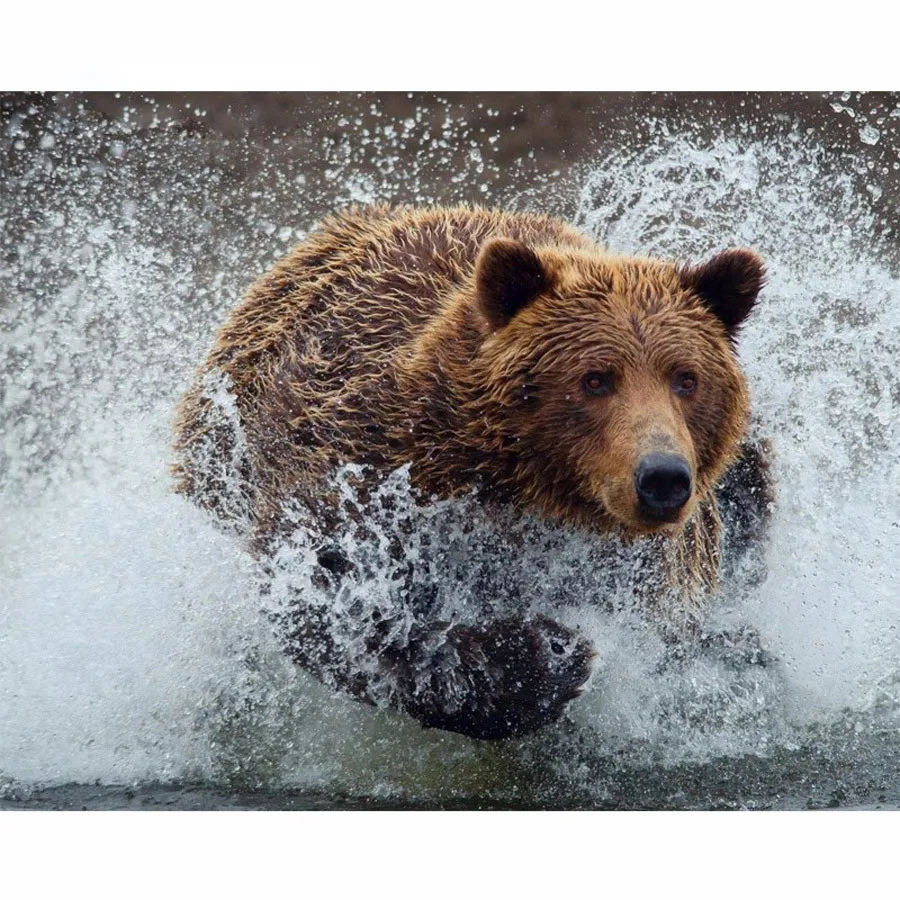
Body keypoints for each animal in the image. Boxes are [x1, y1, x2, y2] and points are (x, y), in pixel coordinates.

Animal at [173, 204, 772, 741]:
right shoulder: (363, 464)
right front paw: (545, 654)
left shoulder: (647, 565)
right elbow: (334, 596)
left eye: (686, 378)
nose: (662, 478)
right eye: (596, 378)